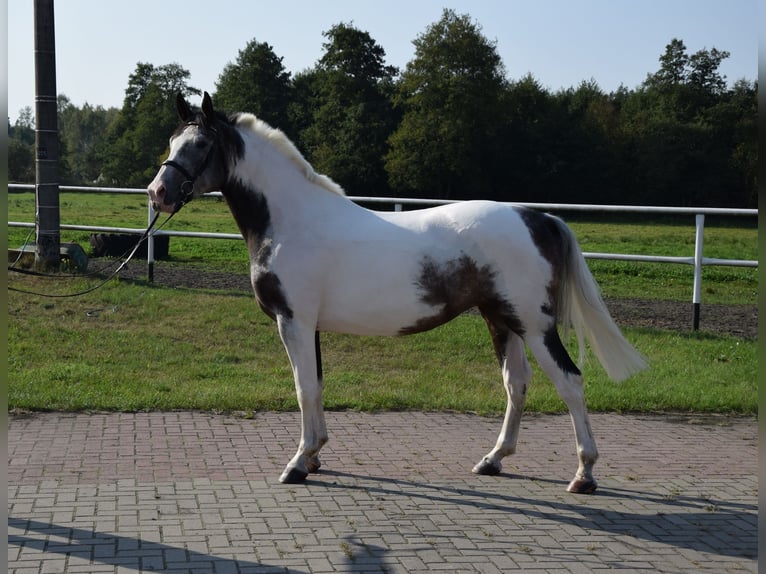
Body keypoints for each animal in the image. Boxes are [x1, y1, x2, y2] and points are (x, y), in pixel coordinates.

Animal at [148, 93, 648, 496]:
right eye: (172, 142)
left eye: (200, 145)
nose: (158, 193)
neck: (293, 220)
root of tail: (539, 217)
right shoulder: (309, 326)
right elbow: (317, 385)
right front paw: (315, 455)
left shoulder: (294, 321)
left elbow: (303, 387)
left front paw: (297, 464)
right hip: (501, 319)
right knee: (517, 384)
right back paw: (493, 460)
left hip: (534, 323)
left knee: (570, 382)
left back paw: (584, 474)